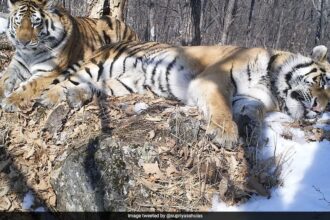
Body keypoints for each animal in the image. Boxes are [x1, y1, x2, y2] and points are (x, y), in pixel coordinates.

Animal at [0, 0, 138, 111]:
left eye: (35, 23)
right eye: (18, 22)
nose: (22, 42)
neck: (30, 54)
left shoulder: (49, 72)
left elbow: (28, 87)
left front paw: (10, 101)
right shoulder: (16, 66)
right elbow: (4, 78)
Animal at [34, 41, 328, 150]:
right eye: (325, 82)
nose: (320, 109)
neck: (272, 84)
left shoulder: (250, 99)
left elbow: (252, 113)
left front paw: (255, 135)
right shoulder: (215, 79)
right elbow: (221, 108)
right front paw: (225, 134)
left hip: (124, 84)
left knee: (94, 87)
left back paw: (75, 97)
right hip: (103, 65)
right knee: (65, 82)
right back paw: (49, 98)